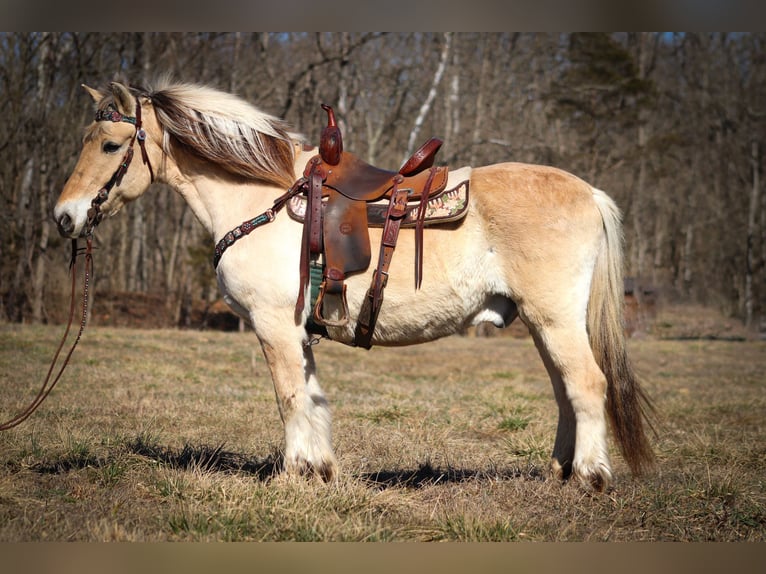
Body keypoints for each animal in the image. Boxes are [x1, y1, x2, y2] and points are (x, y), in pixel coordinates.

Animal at [54, 81, 656, 492]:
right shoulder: (298, 330)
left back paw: (591, 477)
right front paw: (320, 470)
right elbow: (312, 396)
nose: (65, 217)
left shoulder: (274, 325)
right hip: (543, 323)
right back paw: (560, 470)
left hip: (555, 319)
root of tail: (590, 192)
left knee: (587, 384)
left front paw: (291, 476)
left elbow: (289, 397)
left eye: (110, 146)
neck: (262, 201)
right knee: (564, 390)